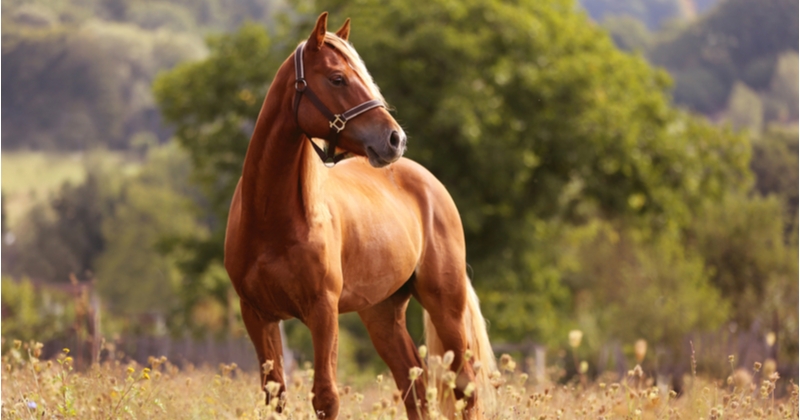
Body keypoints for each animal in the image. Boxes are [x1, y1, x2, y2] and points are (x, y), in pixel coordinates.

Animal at [223, 11, 494, 418]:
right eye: (338, 78)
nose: (395, 139)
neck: (272, 220)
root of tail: (430, 184)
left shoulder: (323, 312)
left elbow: (326, 397)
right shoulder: (258, 316)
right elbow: (276, 395)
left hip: (445, 305)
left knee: (464, 388)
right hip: (382, 313)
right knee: (413, 383)